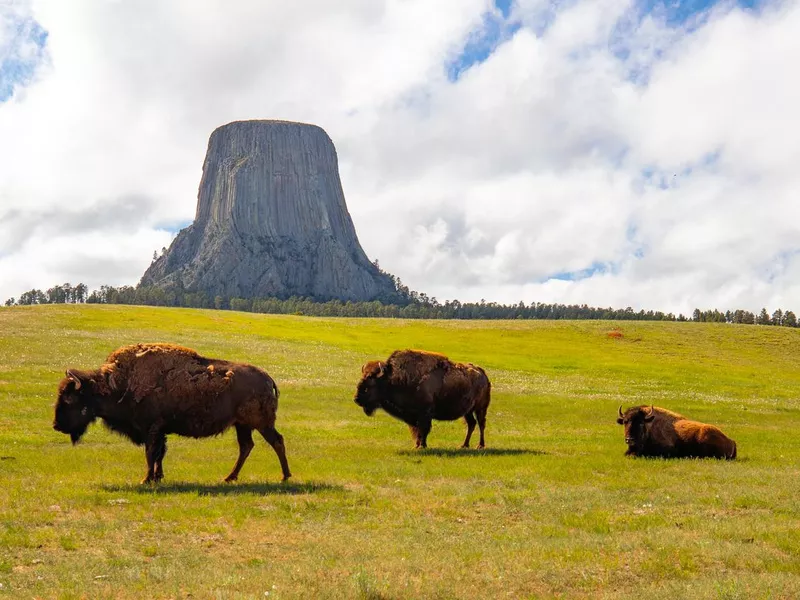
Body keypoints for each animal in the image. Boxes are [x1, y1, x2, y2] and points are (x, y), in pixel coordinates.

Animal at [51, 342, 292, 482]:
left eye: (69, 399)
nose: (56, 425)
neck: (120, 384)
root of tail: (268, 378)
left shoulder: (151, 429)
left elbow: (151, 453)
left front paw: (147, 479)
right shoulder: (160, 431)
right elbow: (160, 454)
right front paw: (158, 477)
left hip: (261, 424)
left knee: (276, 441)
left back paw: (285, 476)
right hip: (242, 425)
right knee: (246, 446)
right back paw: (229, 477)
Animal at [354, 346, 490, 450]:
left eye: (370, 383)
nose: (356, 399)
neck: (392, 379)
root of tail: (482, 373)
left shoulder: (424, 414)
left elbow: (423, 430)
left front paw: (421, 446)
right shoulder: (414, 417)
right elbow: (417, 430)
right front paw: (417, 445)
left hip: (480, 408)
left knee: (481, 424)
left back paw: (480, 445)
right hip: (468, 411)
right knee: (471, 424)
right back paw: (464, 445)